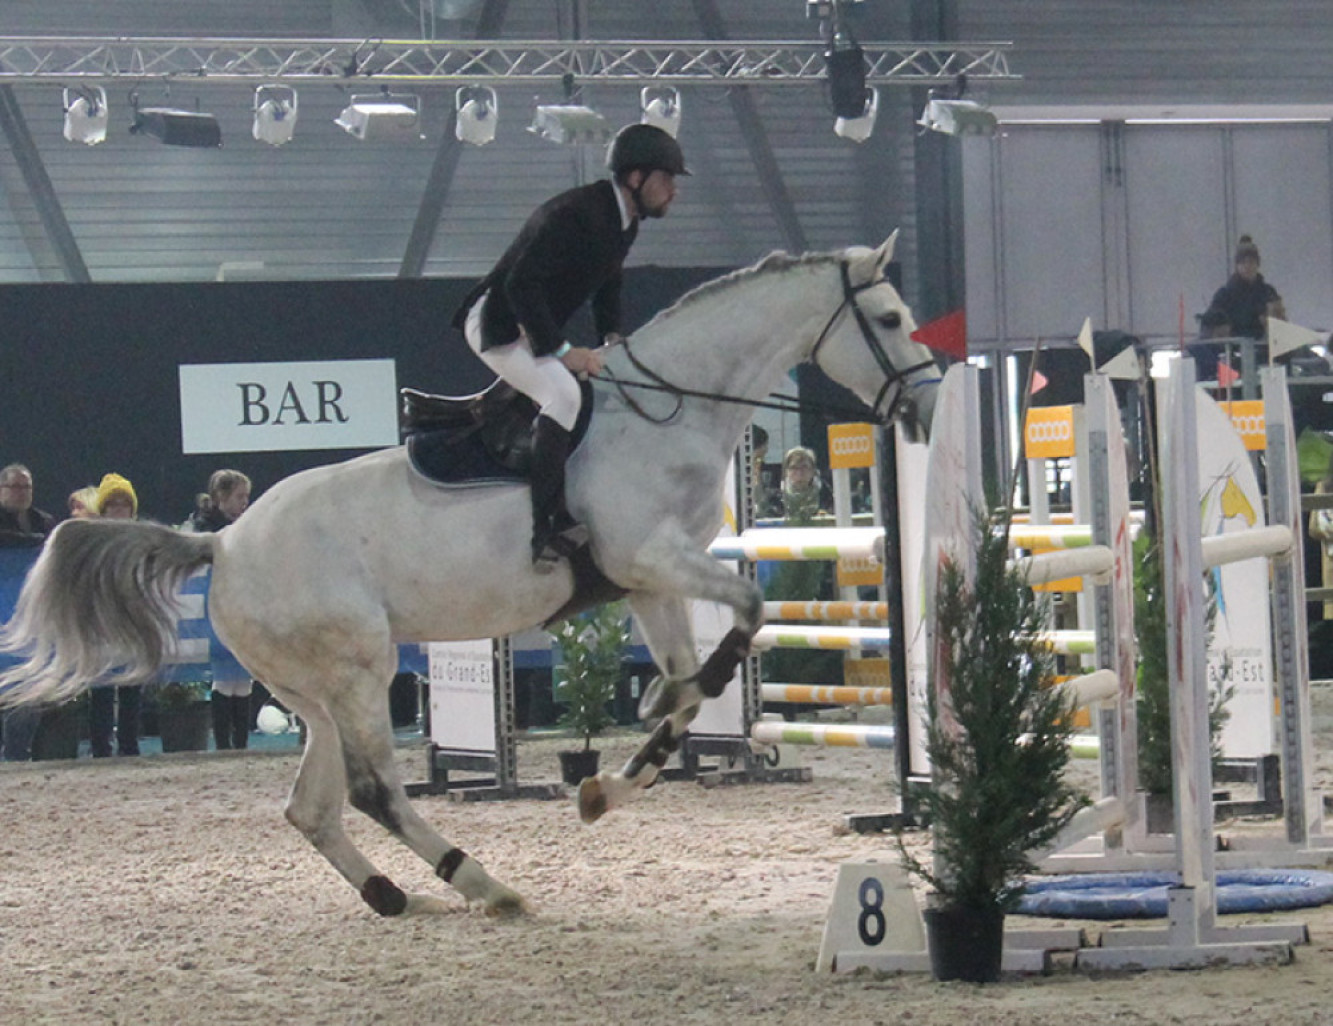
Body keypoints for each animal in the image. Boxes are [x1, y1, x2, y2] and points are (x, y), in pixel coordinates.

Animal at [0, 235, 943, 916]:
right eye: (891, 318)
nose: (929, 405)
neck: (662, 412)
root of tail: (224, 543)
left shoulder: (650, 582)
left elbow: (688, 684)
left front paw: (611, 782)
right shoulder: (649, 561)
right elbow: (742, 617)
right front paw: (638, 736)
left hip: (314, 692)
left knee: (312, 806)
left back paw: (393, 895)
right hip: (362, 672)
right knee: (374, 791)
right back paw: (481, 883)